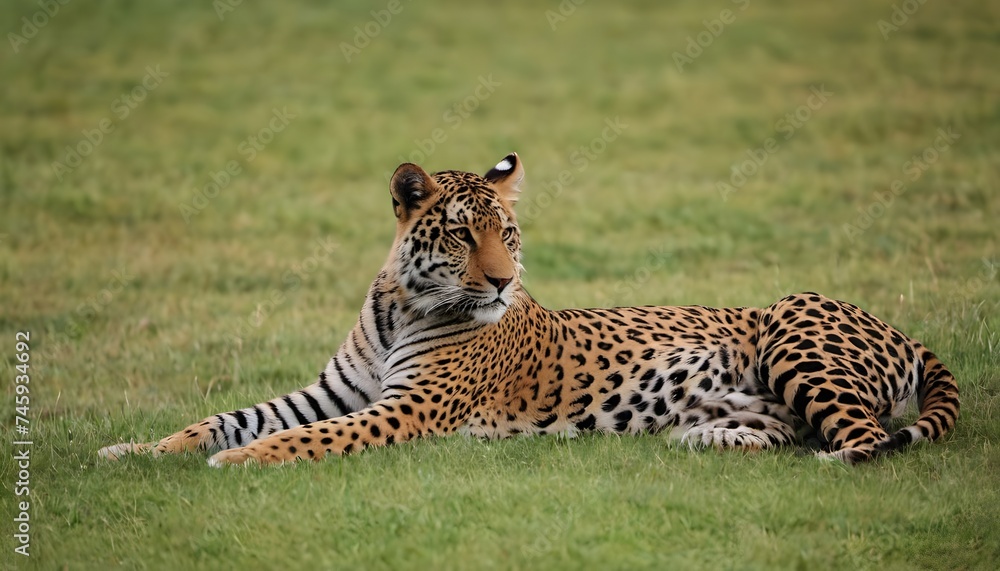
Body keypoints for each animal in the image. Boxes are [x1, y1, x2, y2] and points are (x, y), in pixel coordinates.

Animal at [99, 153, 959, 467]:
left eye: (507, 234)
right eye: (462, 233)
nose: (504, 282)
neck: (404, 304)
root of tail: (898, 326)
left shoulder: (402, 410)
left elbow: (305, 437)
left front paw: (240, 462)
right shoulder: (334, 388)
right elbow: (228, 415)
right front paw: (135, 449)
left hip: (791, 325)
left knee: (867, 436)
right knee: (796, 427)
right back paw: (703, 434)